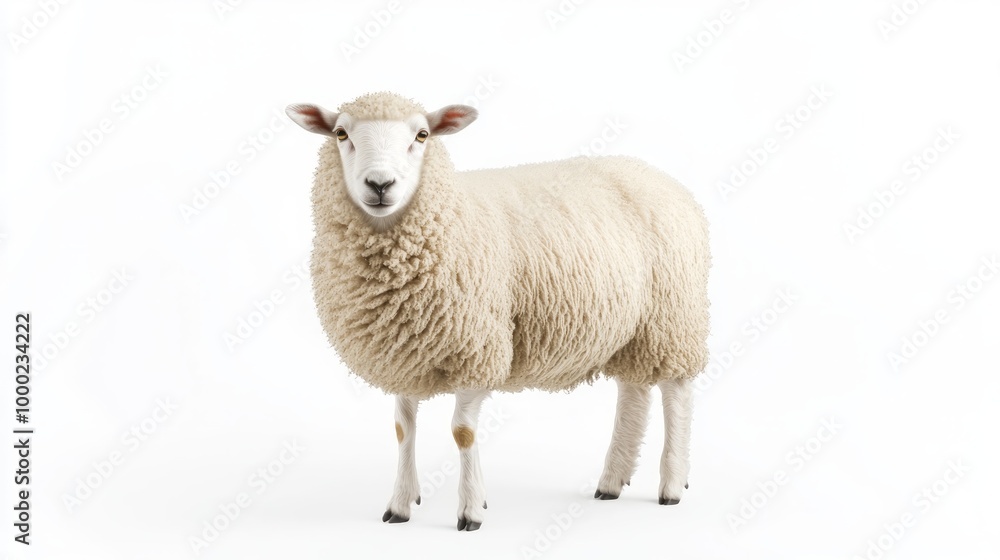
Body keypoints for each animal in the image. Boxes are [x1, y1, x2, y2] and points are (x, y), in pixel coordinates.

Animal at [285, 92, 710, 531]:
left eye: (422, 135)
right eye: (341, 133)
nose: (380, 184)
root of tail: (657, 174)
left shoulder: (479, 350)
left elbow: (462, 433)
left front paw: (471, 511)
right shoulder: (404, 351)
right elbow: (404, 429)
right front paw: (399, 506)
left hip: (674, 317)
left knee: (676, 393)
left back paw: (671, 485)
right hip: (634, 328)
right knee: (634, 390)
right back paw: (611, 481)